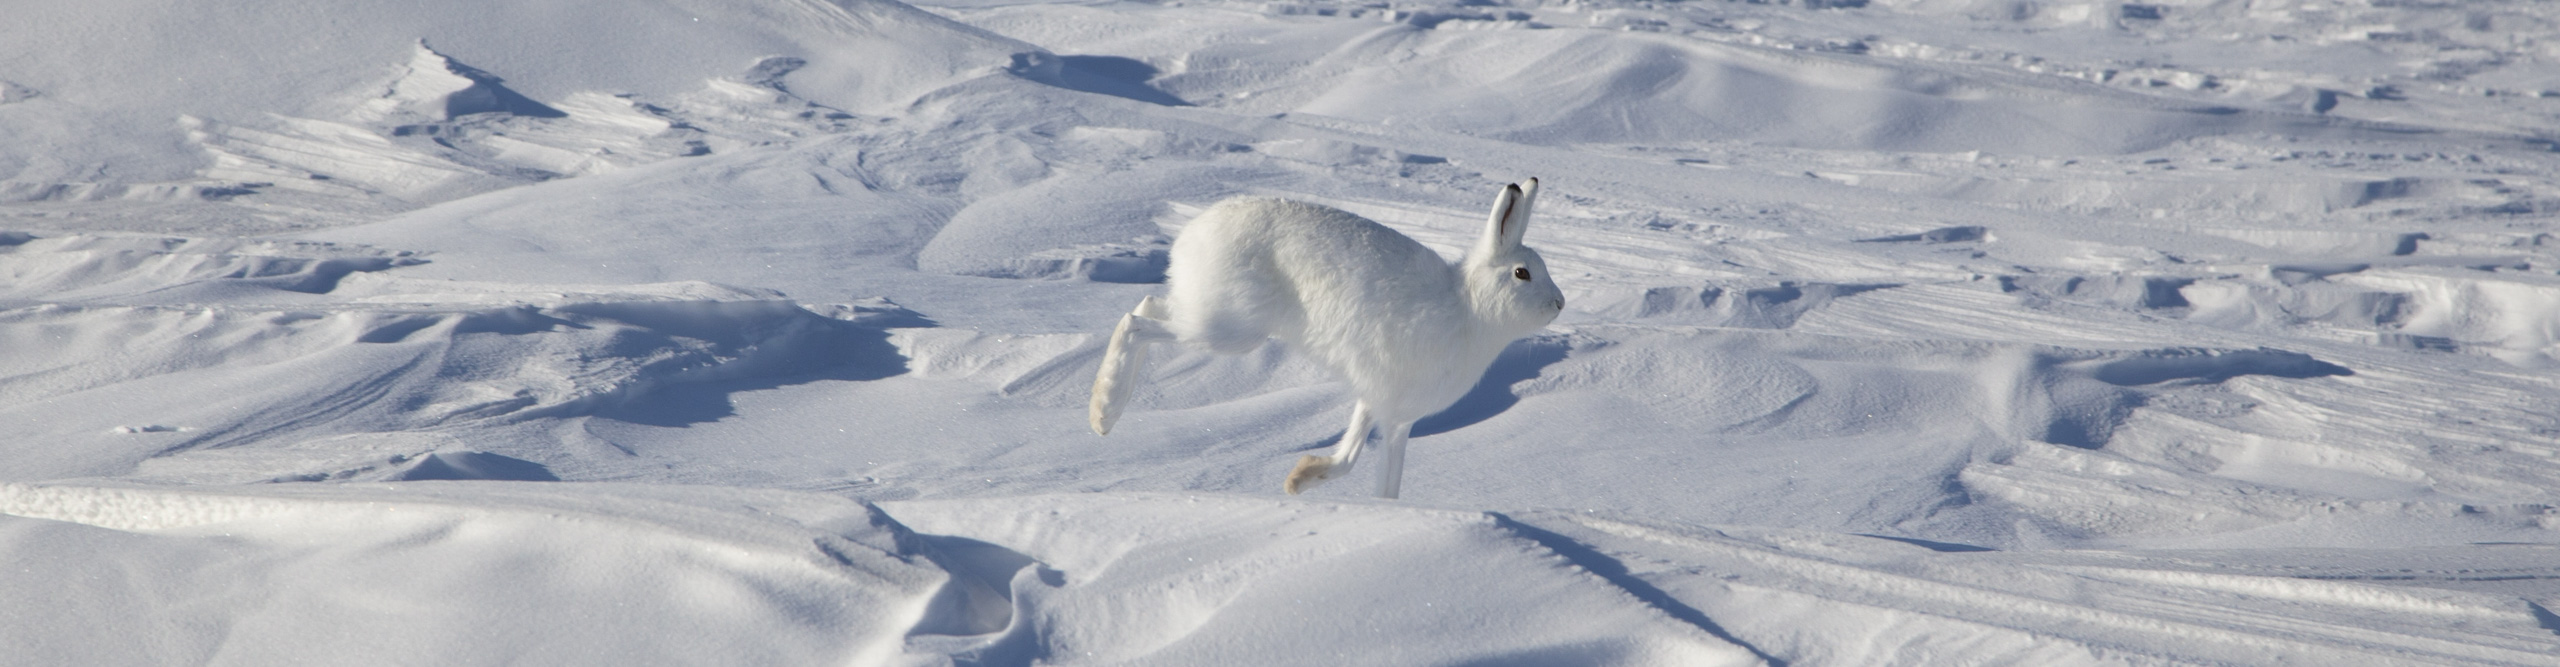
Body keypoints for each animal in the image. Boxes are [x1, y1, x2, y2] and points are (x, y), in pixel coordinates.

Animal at [1088, 178, 1564, 498]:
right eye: (1522, 273)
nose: (1559, 303)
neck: (1469, 308)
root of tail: (1191, 235)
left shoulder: (1393, 413)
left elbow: (1375, 472)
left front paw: (1307, 481)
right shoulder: (1382, 394)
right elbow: (1353, 458)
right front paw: (1299, 481)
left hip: (1209, 314)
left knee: (1149, 304)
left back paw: (1107, 407)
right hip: (1230, 328)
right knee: (1133, 322)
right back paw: (1103, 411)